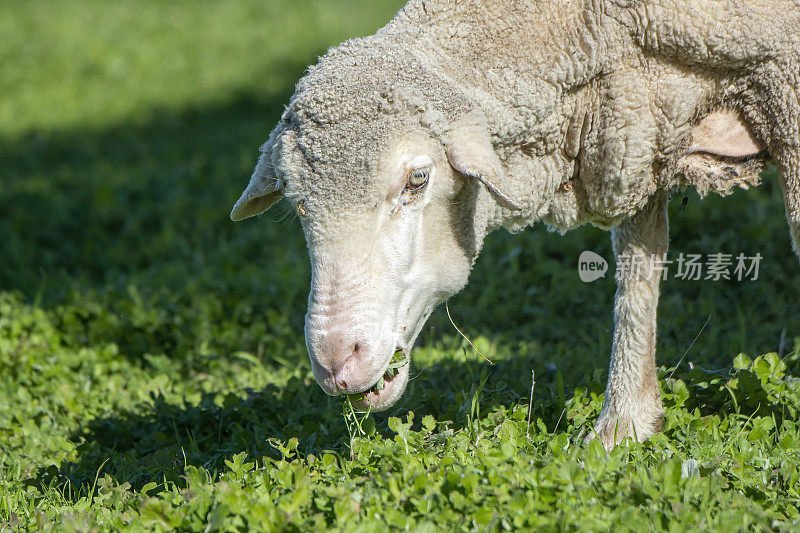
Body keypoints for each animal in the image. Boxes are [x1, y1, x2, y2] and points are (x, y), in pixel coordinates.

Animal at [230, 0, 800, 448]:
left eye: (417, 179)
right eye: (299, 206)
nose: (335, 363)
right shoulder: (633, 121)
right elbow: (638, 271)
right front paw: (624, 426)